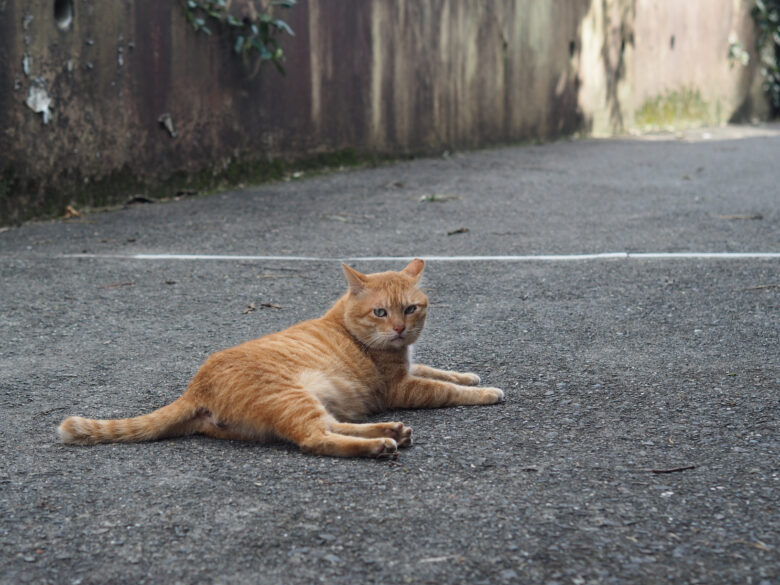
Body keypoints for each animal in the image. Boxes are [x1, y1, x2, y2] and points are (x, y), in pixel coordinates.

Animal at [56, 258, 506, 456]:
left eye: (410, 309)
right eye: (381, 312)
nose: (398, 329)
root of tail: (195, 387)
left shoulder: (411, 368)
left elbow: (441, 371)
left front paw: (468, 375)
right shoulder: (402, 388)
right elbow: (443, 389)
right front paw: (485, 393)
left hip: (307, 403)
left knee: (330, 426)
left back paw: (390, 431)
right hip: (293, 397)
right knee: (314, 439)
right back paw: (379, 444)